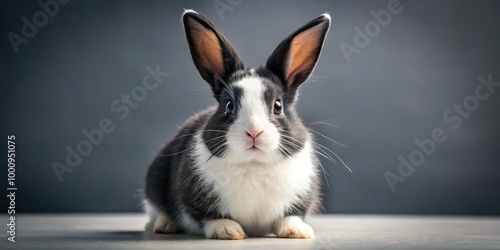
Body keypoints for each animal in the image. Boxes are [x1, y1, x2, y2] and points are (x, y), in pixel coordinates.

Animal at [144, 10, 332, 240]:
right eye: (229, 105)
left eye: (278, 105)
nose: (254, 132)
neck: (254, 164)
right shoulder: (194, 200)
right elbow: (207, 216)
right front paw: (227, 230)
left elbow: (290, 216)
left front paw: (297, 231)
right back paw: (164, 224)